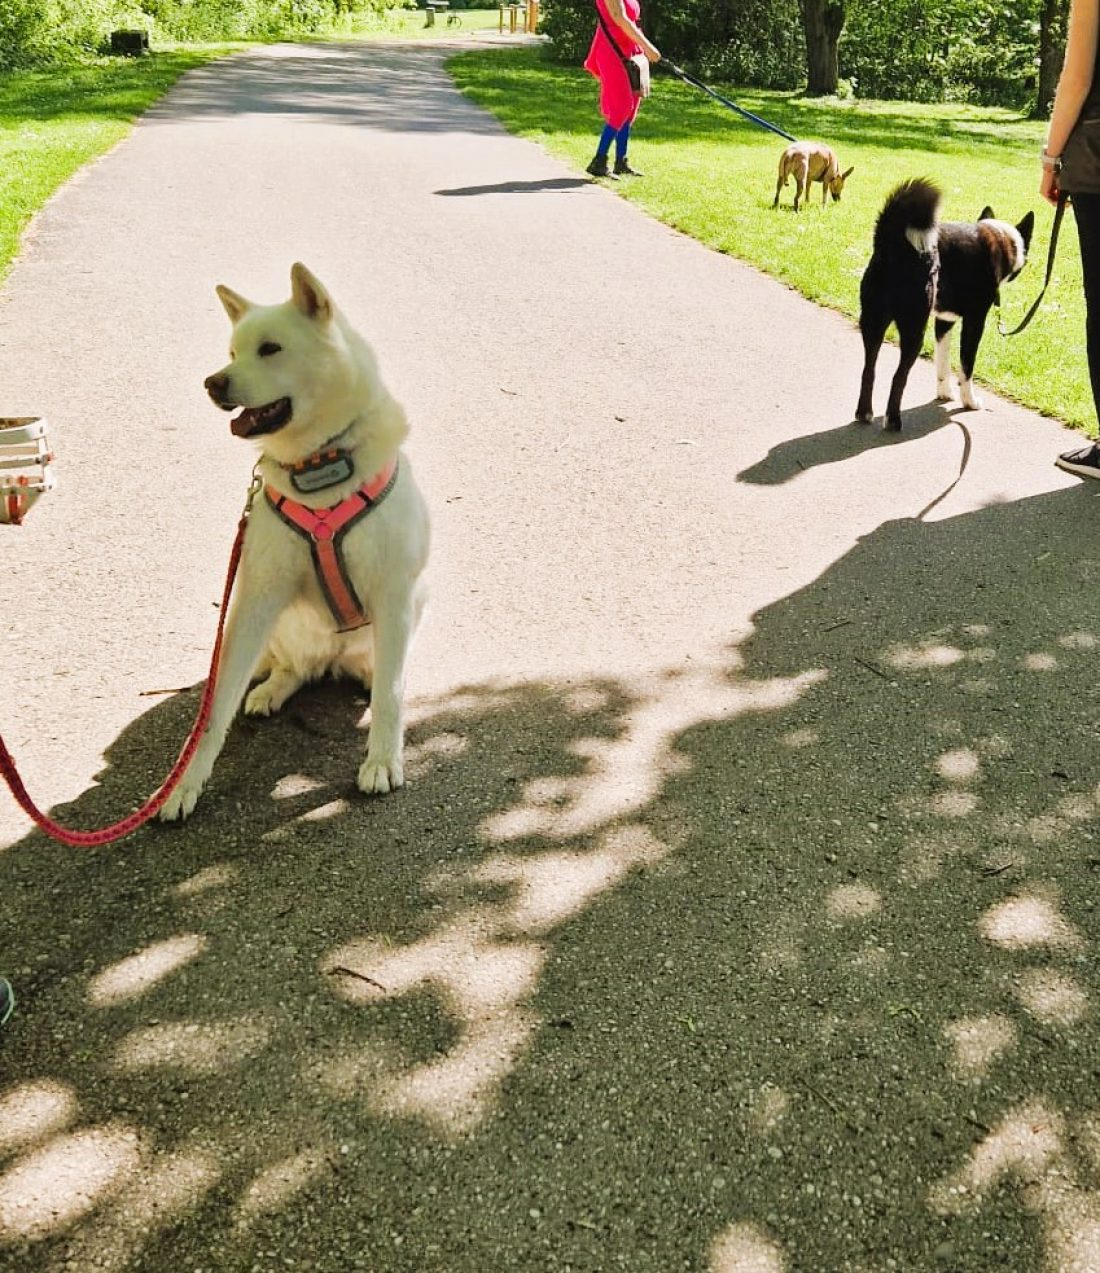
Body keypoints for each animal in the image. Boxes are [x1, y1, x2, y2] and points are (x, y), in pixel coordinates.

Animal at [161, 266, 432, 824]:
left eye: (270, 349)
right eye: (232, 352)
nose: (213, 382)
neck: (320, 465)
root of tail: (328, 660)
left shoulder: (394, 593)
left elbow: (392, 696)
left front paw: (382, 761)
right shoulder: (255, 597)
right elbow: (215, 708)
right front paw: (184, 784)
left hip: (413, 606)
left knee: (381, 672)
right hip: (271, 619)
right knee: (292, 668)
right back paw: (273, 687)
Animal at [860, 178, 1028, 432]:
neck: (999, 241)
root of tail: (891, 244)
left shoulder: (944, 320)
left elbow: (942, 361)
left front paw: (944, 393)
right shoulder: (974, 322)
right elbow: (966, 367)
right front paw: (969, 401)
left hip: (873, 323)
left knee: (868, 370)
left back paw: (864, 413)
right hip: (913, 331)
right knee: (899, 377)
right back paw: (893, 420)